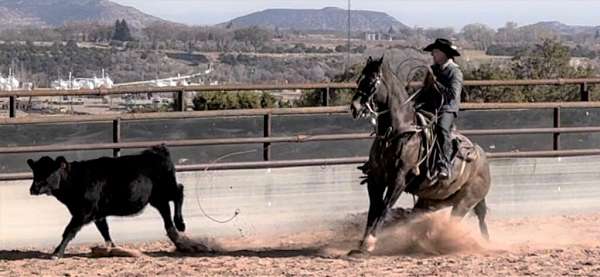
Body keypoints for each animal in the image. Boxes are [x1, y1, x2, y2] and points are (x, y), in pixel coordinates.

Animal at [346, 56, 492, 254]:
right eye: (358, 80)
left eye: (371, 82)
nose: (354, 107)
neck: (396, 133)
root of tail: (483, 160)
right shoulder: (375, 179)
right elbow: (373, 209)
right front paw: (361, 245)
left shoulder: (398, 180)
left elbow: (384, 208)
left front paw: (370, 242)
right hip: (433, 201)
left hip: (466, 201)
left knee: (458, 219)